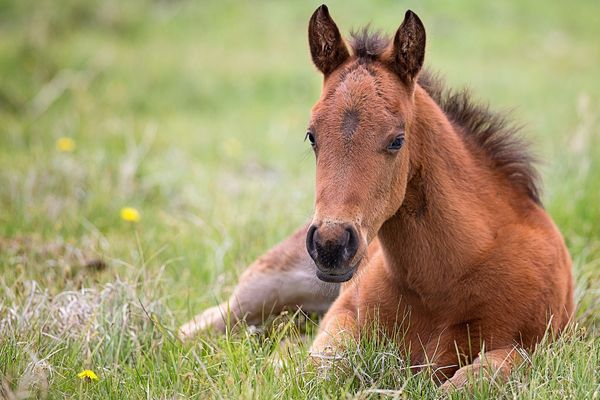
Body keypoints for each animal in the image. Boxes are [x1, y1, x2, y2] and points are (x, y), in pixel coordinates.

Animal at [180, 4, 576, 390]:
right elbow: (320, 369)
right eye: (311, 136)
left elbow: (469, 383)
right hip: (265, 289)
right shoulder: (343, 316)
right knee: (197, 328)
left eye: (397, 140)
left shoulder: (529, 348)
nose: (330, 245)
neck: (444, 281)